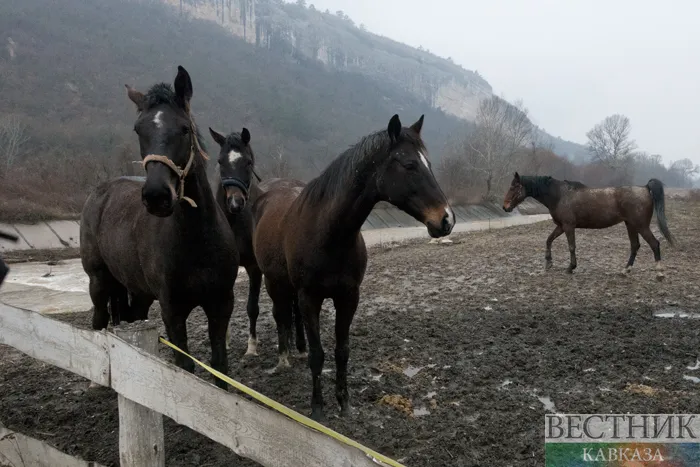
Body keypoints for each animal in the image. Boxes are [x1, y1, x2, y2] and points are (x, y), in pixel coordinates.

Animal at [81, 65, 239, 388]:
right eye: (138, 130)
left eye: (184, 129)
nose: (156, 196)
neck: (198, 242)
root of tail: (99, 193)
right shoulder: (172, 310)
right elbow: (184, 367)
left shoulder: (221, 304)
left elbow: (220, 367)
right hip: (98, 281)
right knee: (99, 320)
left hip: (138, 292)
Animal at [208, 128, 306, 354]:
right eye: (220, 161)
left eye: (248, 162)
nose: (235, 202)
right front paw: (225, 339)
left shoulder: (254, 268)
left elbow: (252, 307)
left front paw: (251, 346)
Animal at [254, 114, 456, 420]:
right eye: (409, 165)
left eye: (428, 164)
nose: (446, 219)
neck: (328, 234)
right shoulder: (310, 298)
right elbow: (318, 354)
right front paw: (317, 408)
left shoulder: (349, 297)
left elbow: (342, 351)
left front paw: (344, 403)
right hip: (273, 282)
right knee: (280, 317)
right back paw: (283, 358)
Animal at [504, 173, 672, 276]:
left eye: (514, 187)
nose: (505, 207)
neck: (560, 195)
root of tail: (645, 188)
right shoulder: (561, 226)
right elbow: (549, 240)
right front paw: (549, 263)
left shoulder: (568, 226)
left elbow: (571, 246)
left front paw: (571, 267)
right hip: (630, 225)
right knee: (635, 246)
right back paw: (626, 270)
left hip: (641, 226)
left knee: (654, 243)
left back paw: (659, 271)